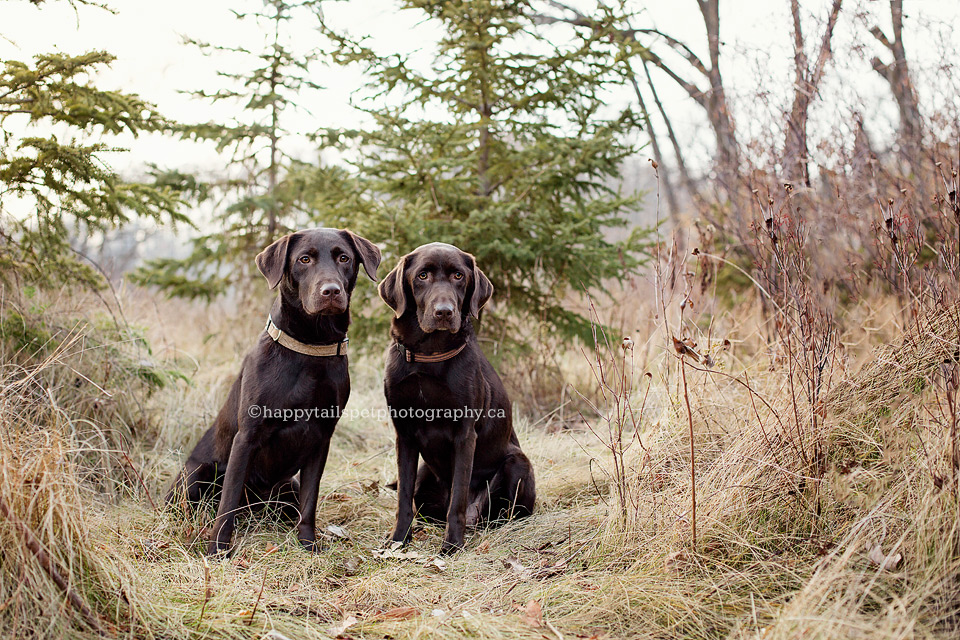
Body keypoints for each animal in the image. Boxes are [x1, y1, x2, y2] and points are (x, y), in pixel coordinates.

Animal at [165, 226, 378, 556]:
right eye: (304, 259)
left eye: (344, 258)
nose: (330, 291)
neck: (311, 348)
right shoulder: (247, 437)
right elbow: (228, 502)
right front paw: (218, 550)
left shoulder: (322, 439)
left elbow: (310, 501)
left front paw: (308, 544)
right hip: (196, 474)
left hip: (286, 486)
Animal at [378, 242, 536, 552]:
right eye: (423, 275)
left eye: (459, 276)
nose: (444, 312)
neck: (428, 354)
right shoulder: (404, 433)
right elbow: (403, 498)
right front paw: (398, 540)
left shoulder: (465, 435)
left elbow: (458, 499)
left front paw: (452, 546)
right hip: (425, 475)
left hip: (517, 464)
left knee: (501, 513)